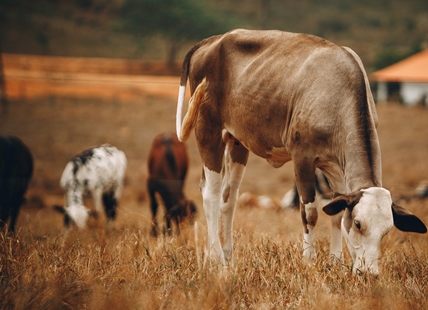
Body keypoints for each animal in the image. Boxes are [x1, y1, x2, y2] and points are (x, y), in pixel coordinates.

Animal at [176, 29, 426, 274]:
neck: (339, 94)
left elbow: (335, 213)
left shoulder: (335, 167)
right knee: (211, 194)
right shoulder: (303, 158)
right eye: (358, 223)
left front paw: (336, 262)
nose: (368, 273)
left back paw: (227, 259)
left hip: (237, 142)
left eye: (386, 231)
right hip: (207, 131)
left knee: (228, 198)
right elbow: (311, 213)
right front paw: (309, 261)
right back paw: (215, 259)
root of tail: (214, 39)